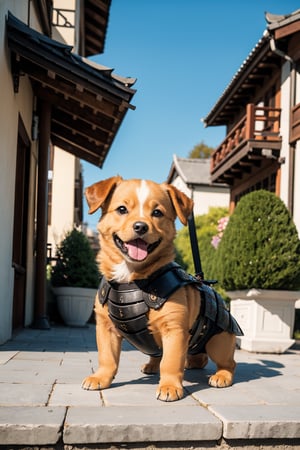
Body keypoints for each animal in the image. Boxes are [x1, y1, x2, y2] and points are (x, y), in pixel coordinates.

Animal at [81, 176, 241, 400]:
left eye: (157, 213)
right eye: (121, 209)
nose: (141, 227)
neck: (133, 279)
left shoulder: (173, 330)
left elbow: (171, 362)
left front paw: (170, 386)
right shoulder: (105, 328)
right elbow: (107, 357)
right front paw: (101, 378)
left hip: (219, 342)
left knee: (229, 362)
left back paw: (222, 376)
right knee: (178, 357)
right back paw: (162, 365)